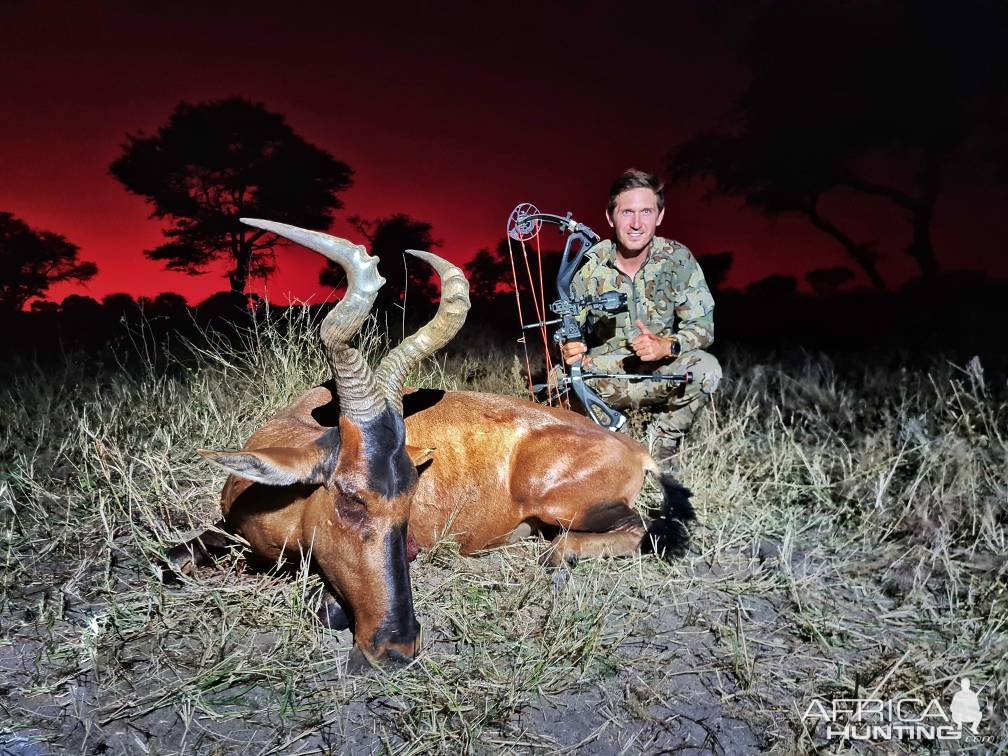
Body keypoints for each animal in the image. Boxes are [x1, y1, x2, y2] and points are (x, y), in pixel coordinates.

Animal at [173, 221, 693, 665]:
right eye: (349, 497)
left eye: (408, 502)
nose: (398, 646)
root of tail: (635, 449)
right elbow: (174, 560)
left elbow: (326, 604)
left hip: (561, 505)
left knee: (627, 532)